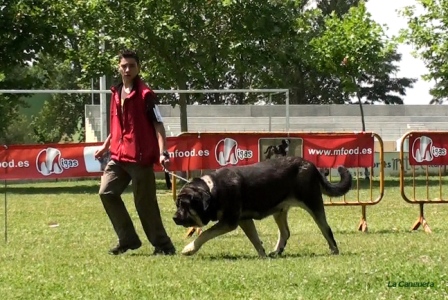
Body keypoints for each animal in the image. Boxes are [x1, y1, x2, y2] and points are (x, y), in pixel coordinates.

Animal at [173, 156, 352, 256]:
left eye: (184, 205)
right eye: (177, 204)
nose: (174, 218)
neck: (213, 189)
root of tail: (312, 166)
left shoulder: (229, 222)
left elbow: (205, 234)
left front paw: (189, 248)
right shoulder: (244, 220)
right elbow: (255, 239)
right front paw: (262, 255)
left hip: (313, 203)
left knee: (326, 229)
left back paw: (334, 250)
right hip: (279, 211)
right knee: (285, 232)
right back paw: (277, 251)